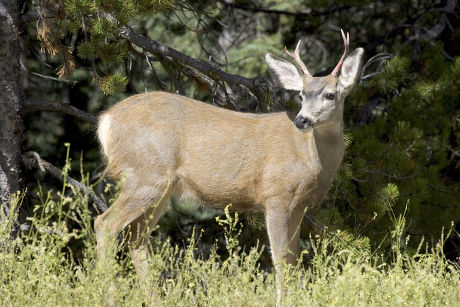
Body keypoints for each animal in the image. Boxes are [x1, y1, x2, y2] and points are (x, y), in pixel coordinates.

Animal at [95, 30, 364, 304]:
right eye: (301, 94)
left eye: (330, 94)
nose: (302, 120)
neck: (310, 158)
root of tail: (106, 120)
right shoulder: (276, 196)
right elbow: (280, 259)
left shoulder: (300, 205)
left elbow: (293, 260)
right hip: (145, 175)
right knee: (104, 224)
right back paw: (108, 296)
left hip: (160, 187)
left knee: (137, 239)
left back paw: (154, 299)